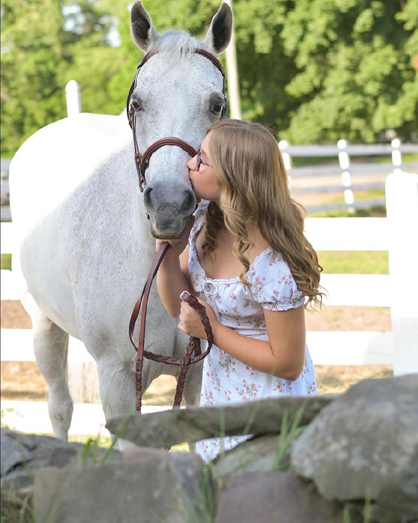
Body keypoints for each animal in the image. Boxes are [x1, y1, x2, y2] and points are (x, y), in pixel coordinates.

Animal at [9, 1, 232, 442]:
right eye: (138, 103)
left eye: (216, 104)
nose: (168, 203)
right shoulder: (116, 380)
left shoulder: (197, 375)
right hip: (44, 325)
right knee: (59, 406)